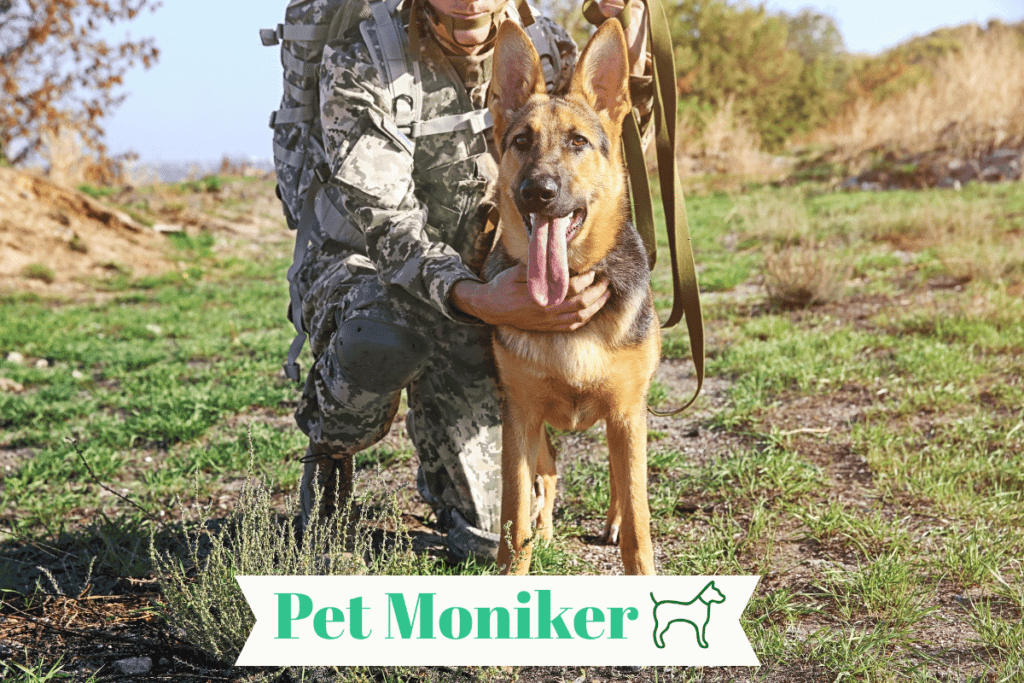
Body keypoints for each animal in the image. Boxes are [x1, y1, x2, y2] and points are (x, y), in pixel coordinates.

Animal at [483, 18, 659, 573]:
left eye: (579, 141)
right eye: (521, 141)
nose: (538, 191)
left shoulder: (627, 415)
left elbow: (639, 523)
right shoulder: (520, 418)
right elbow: (514, 518)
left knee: (620, 483)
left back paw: (612, 520)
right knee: (548, 476)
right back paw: (546, 528)